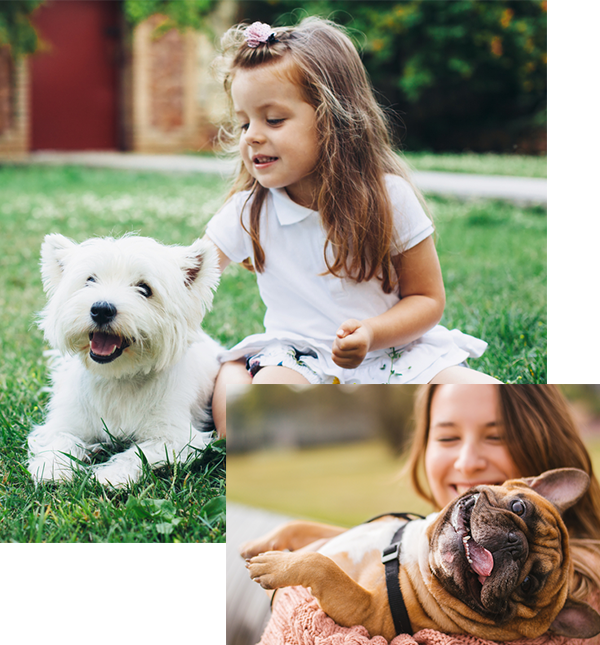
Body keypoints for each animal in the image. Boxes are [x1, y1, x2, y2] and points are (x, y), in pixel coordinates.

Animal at [28, 234, 220, 486]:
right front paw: (53, 468)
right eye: (90, 280)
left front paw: (111, 475)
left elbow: (139, 453)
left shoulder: (177, 436)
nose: (101, 309)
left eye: (145, 289)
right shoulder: (67, 422)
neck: (118, 378)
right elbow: (61, 439)